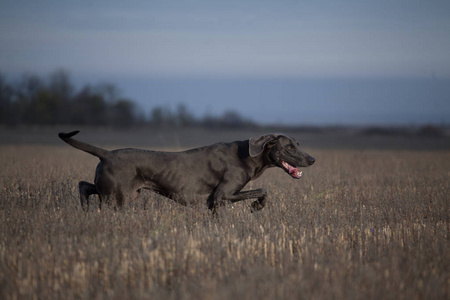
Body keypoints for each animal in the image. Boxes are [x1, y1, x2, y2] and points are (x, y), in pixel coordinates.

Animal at [58, 131, 314, 211]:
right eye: (289, 147)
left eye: (298, 144)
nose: (312, 159)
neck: (250, 155)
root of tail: (107, 153)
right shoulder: (222, 195)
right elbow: (262, 190)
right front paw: (256, 207)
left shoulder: (215, 202)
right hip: (118, 197)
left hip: (112, 190)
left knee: (84, 186)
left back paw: (84, 210)